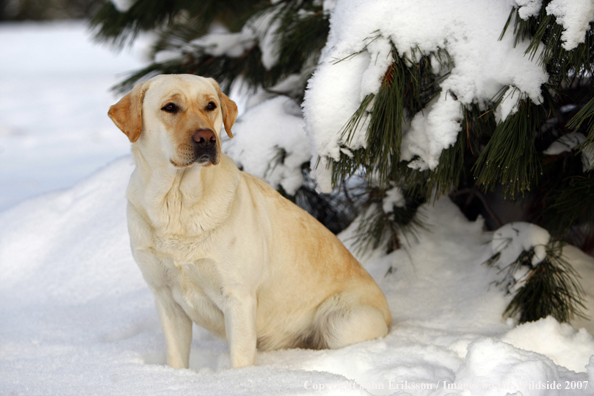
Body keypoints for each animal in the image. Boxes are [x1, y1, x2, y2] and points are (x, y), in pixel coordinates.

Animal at [108, 74, 390, 368]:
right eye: (170, 107)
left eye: (210, 105)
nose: (207, 138)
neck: (177, 205)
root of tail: (388, 311)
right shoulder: (165, 298)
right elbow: (176, 358)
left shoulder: (238, 296)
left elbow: (241, 358)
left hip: (341, 323)